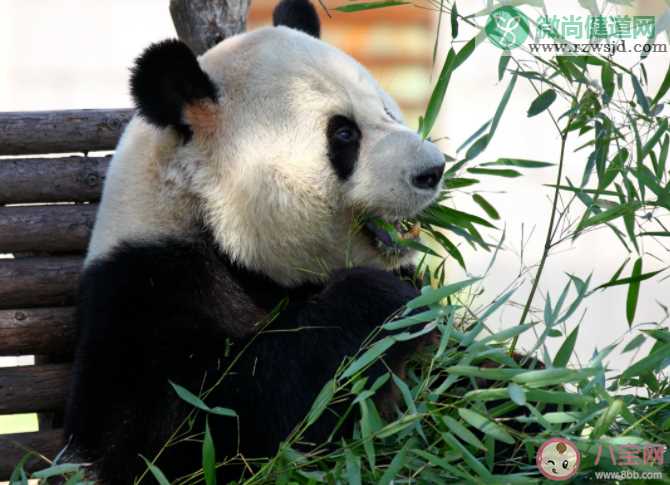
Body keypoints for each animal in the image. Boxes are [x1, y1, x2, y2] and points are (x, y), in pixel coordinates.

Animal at [65, 0, 448, 482]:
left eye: (388, 110)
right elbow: (179, 433)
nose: (432, 170)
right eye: (343, 133)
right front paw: (386, 300)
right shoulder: (144, 287)